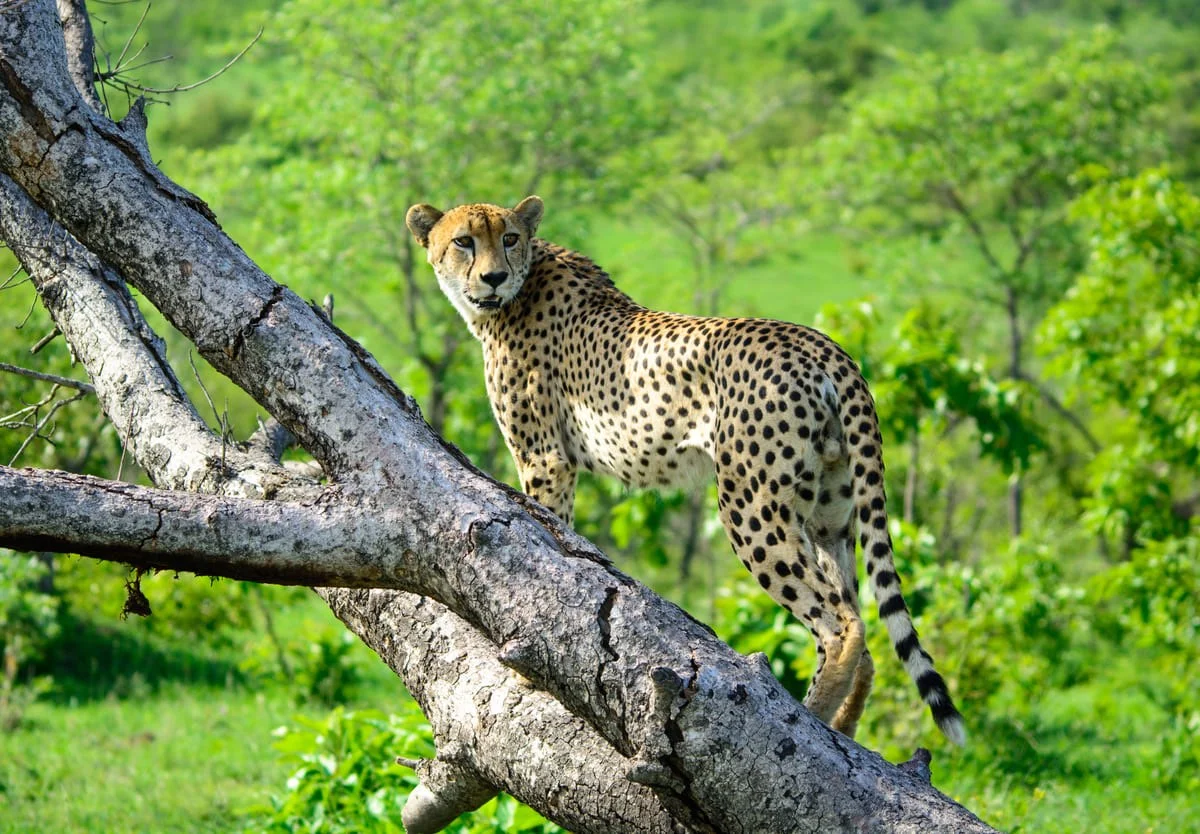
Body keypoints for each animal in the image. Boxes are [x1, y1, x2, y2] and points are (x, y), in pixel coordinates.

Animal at [406, 195, 965, 744]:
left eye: (509, 238)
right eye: (463, 241)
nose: (493, 277)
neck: (520, 287)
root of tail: (823, 347)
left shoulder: (544, 458)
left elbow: (547, 550)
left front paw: (529, 670)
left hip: (750, 505)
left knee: (843, 623)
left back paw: (815, 719)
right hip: (831, 512)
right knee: (861, 626)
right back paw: (845, 726)